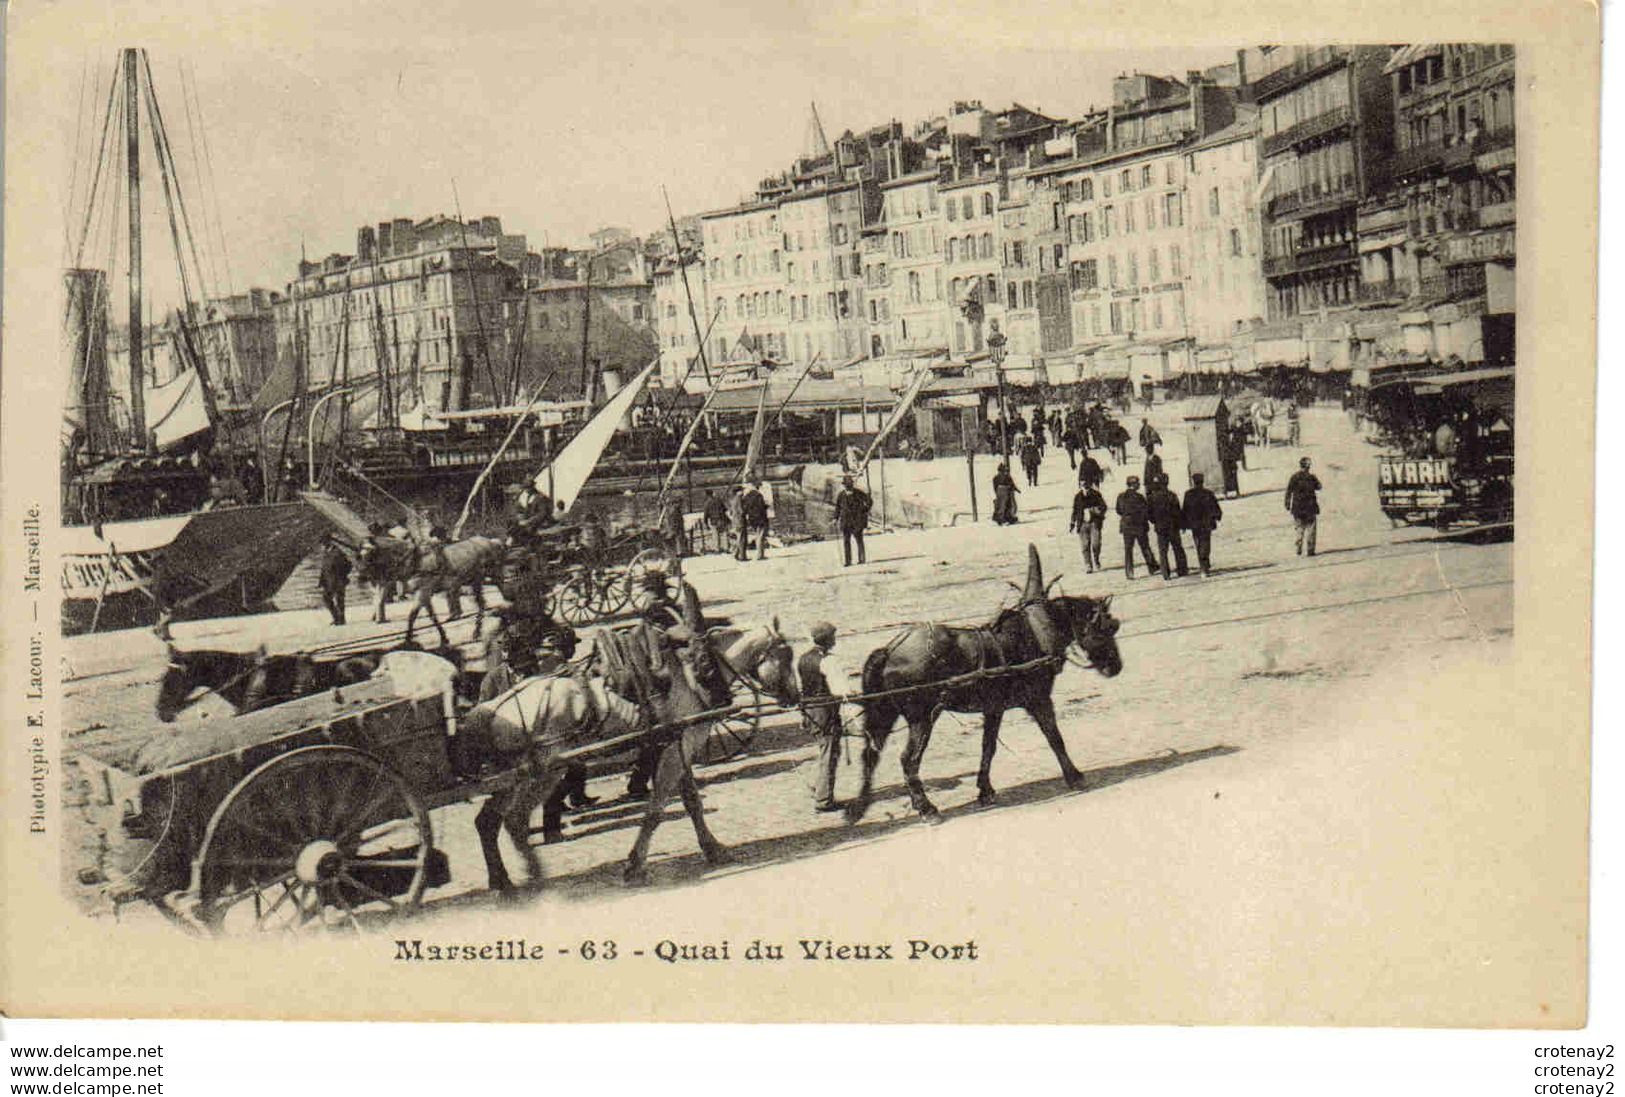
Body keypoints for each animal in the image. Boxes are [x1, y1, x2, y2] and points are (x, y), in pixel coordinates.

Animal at [357, 536, 503, 646]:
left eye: (370, 554)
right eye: (360, 554)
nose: (360, 577)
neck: (415, 560)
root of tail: (491, 541)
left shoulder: (423, 591)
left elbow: (412, 616)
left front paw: (408, 640)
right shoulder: (424, 594)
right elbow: (432, 616)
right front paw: (444, 638)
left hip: (481, 579)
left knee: (485, 602)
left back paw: (477, 632)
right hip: (474, 581)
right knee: (483, 603)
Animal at [458, 588, 799, 890]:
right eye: (785, 655)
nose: (794, 697)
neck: (694, 671)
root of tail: (489, 709)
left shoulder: (677, 744)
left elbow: (692, 802)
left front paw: (713, 848)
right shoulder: (679, 748)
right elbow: (657, 810)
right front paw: (635, 865)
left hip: (512, 777)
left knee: (488, 821)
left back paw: (502, 880)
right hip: (544, 773)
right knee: (514, 821)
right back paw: (533, 874)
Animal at [845, 546, 1124, 828]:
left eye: (1114, 626)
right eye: (1107, 628)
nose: (1116, 667)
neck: (1033, 633)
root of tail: (890, 649)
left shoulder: (994, 708)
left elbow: (988, 747)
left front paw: (985, 789)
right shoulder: (1039, 700)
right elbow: (1054, 737)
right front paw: (1075, 776)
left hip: (885, 713)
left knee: (870, 754)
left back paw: (858, 808)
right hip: (923, 718)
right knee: (908, 759)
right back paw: (926, 808)